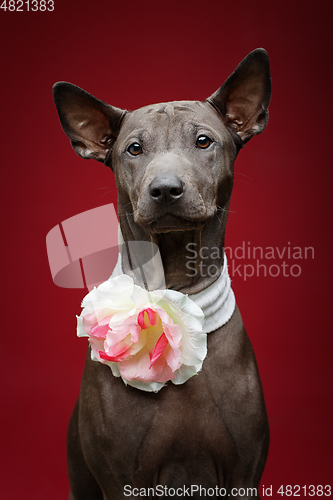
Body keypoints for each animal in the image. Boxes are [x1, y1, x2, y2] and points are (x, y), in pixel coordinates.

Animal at [52, 47, 270, 500]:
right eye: (134, 148)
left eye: (203, 140)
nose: (166, 189)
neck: (174, 287)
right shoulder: (122, 479)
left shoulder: (243, 475)